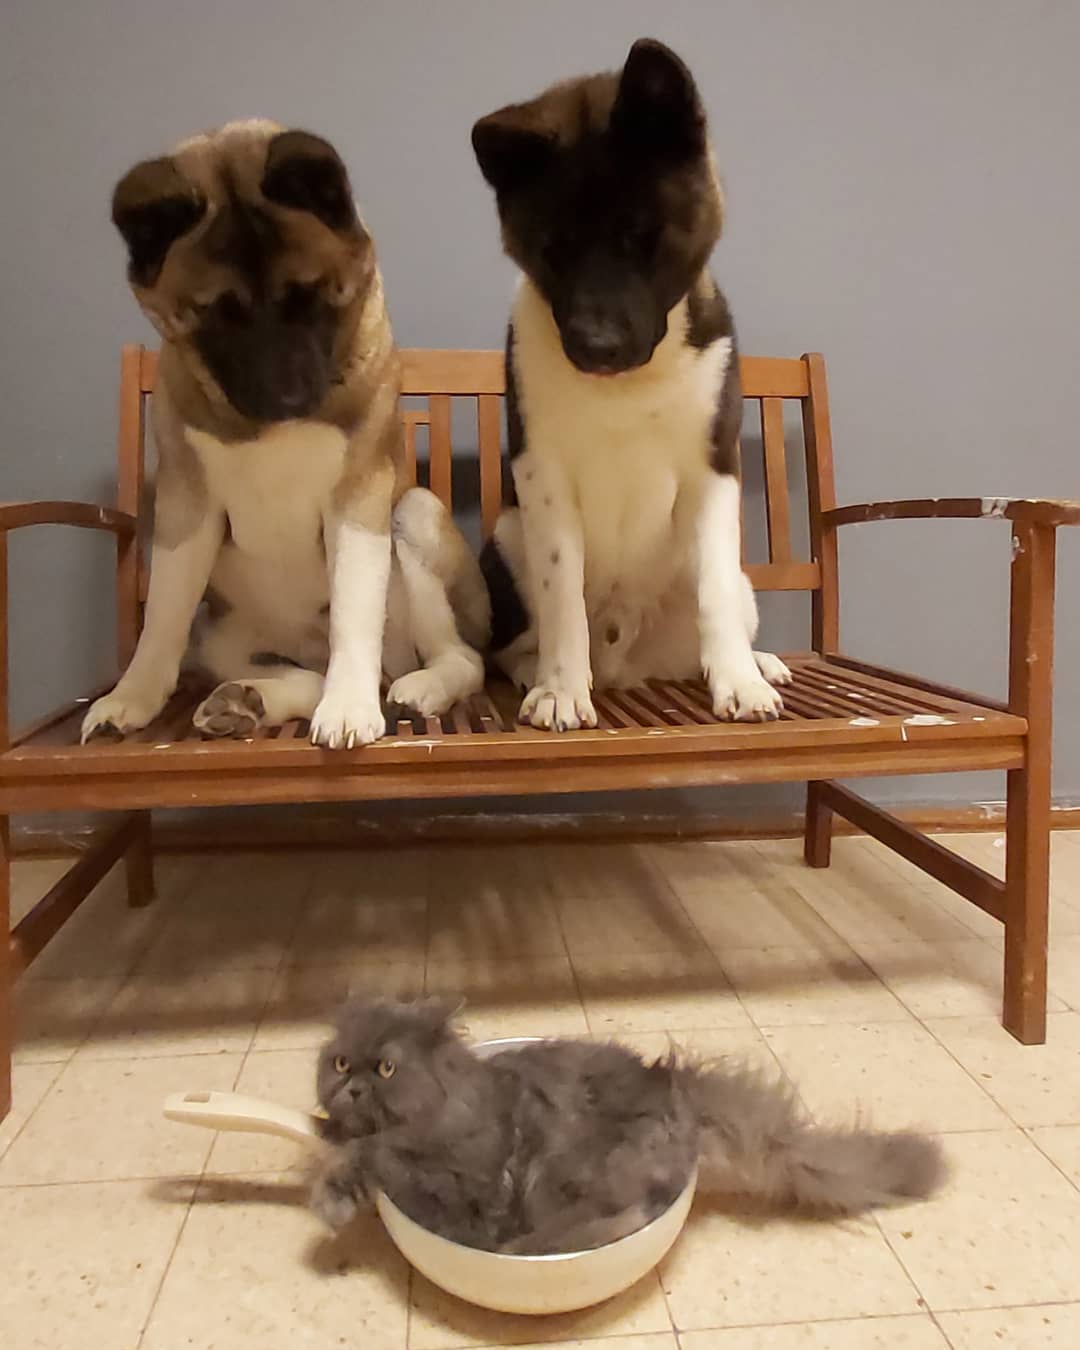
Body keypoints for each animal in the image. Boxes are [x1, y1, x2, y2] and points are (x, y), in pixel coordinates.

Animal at [82, 117, 486, 750]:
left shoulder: (359, 500)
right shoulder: (186, 505)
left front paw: (348, 707)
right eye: (217, 314)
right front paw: (132, 698)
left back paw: (413, 688)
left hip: (414, 515)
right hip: (222, 639)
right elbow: (162, 620)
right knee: (299, 673)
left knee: (461, 657)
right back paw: (245, 701)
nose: (287, 395)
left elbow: (353, 613)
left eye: (313, 296)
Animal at [311, 999, 945, 1247]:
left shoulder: (461, 1186)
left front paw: (333, 1191)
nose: (353, 1085)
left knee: (623, 1216)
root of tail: (674, 1087)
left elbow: (379, 1154)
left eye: (387, 1067)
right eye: (340, 1062)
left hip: (567, 1176)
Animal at [472, 39, 793, 729]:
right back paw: (534, 671)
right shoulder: (541, 475)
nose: (596, 348)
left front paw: (740, 681)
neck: (627, 388)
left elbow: (715, 591)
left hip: (739, 585)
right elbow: (561, 592)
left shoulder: (714, 468)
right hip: (505, 541)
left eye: (642, 236)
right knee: (516, 643)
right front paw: (561, 688)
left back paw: (759, 662)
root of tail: (628, 667)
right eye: (554, 249)